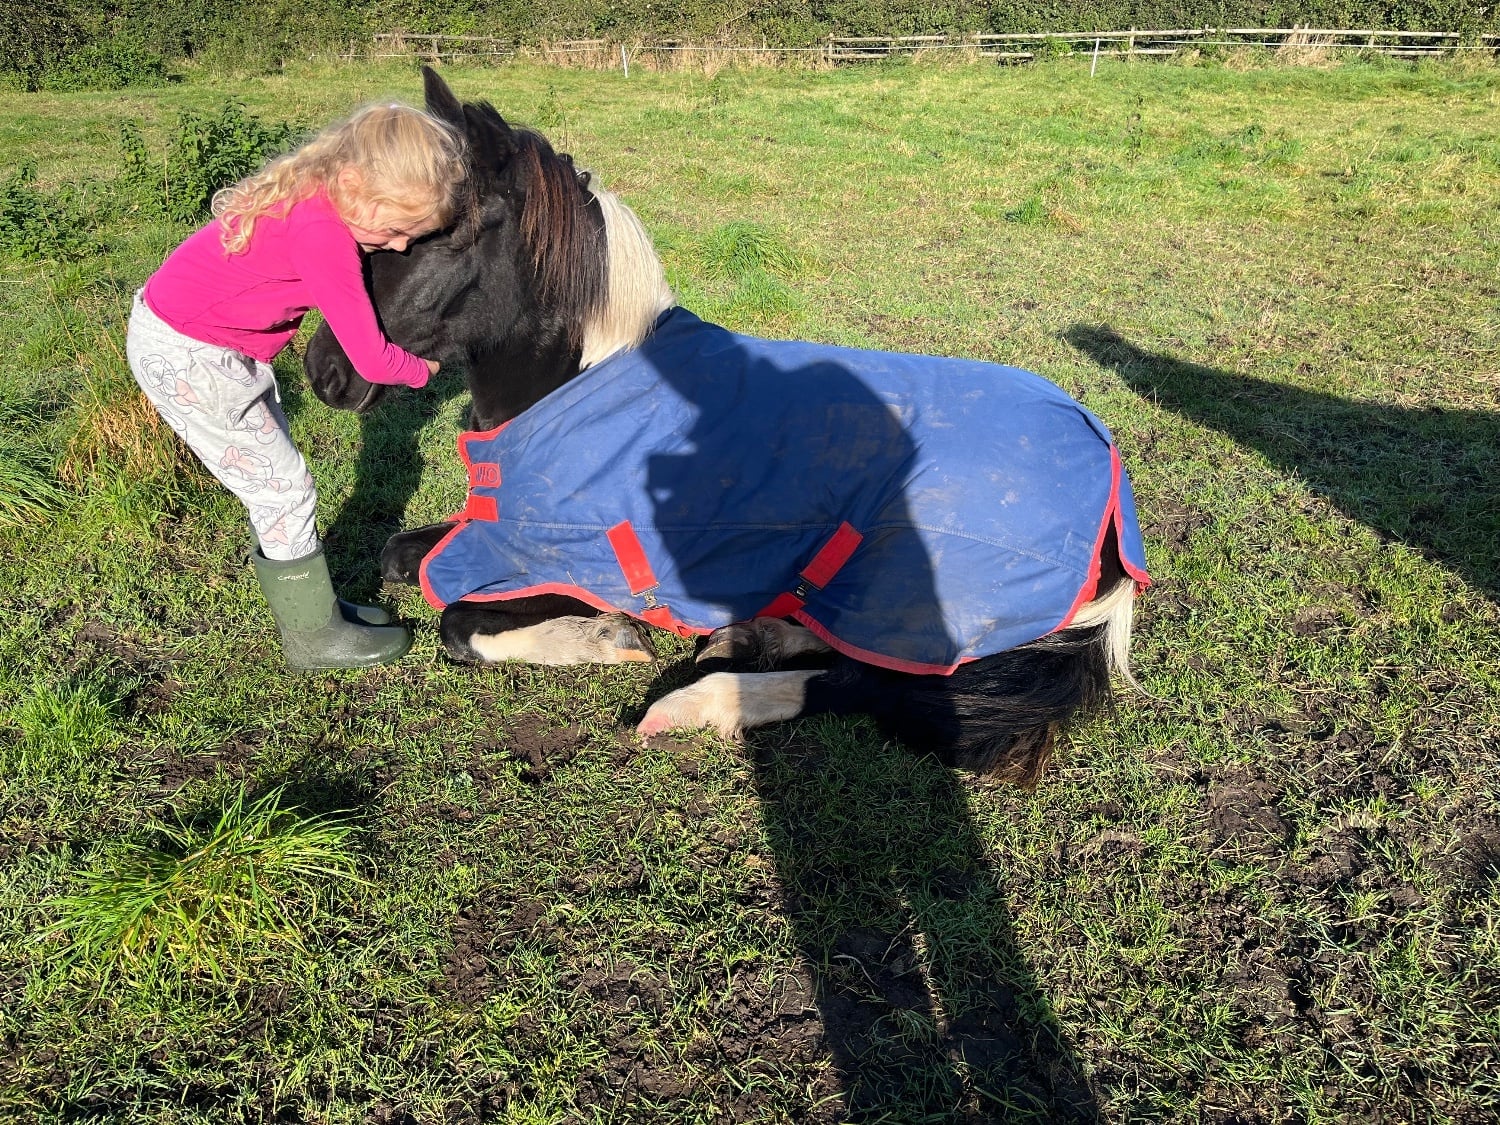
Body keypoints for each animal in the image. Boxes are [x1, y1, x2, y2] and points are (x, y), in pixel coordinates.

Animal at [305, 68, 1150, 784]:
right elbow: (397, 554)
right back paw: (756, 632)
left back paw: (695, 700)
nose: (322, 371)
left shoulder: (574, 566)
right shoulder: (494, 533)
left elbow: (457, 622)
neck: (583, 382)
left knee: (873, 685)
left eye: (437, 235)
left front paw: (603, 638)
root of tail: (1107, 482)